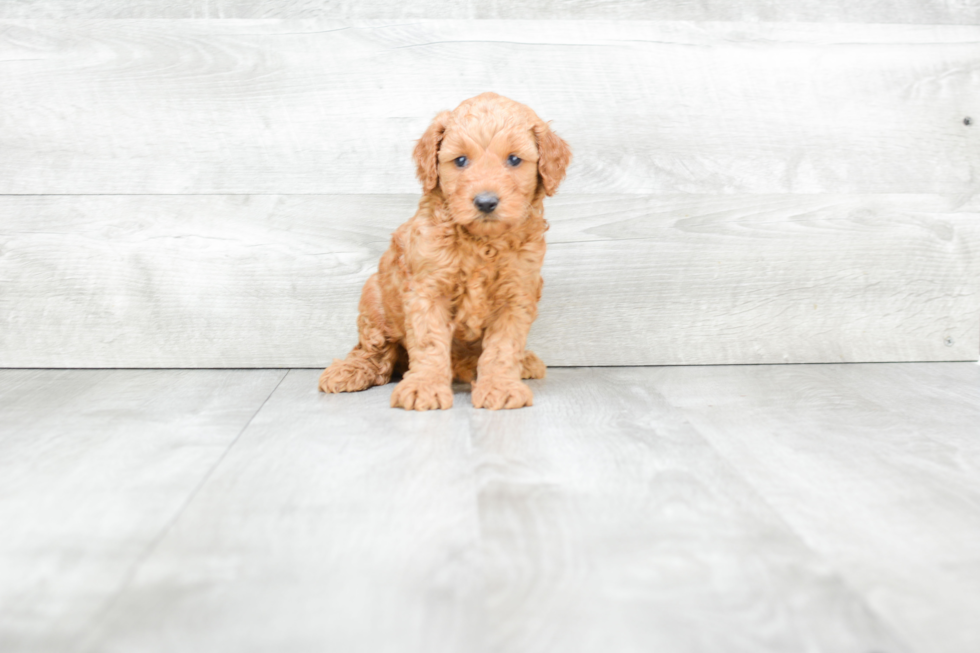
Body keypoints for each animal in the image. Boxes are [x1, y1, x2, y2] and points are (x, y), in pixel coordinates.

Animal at [318, 91, 572, 408]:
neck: (482, 243)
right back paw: (350, 370)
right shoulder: (428, 290)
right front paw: (424, 387)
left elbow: (504, 346)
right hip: (374, 297)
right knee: (374, 351)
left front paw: (500, 386)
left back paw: (524, 362)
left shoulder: (516, 294)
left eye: (514, 159)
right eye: (460, 160)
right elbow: (429, 341)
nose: (486, 202)